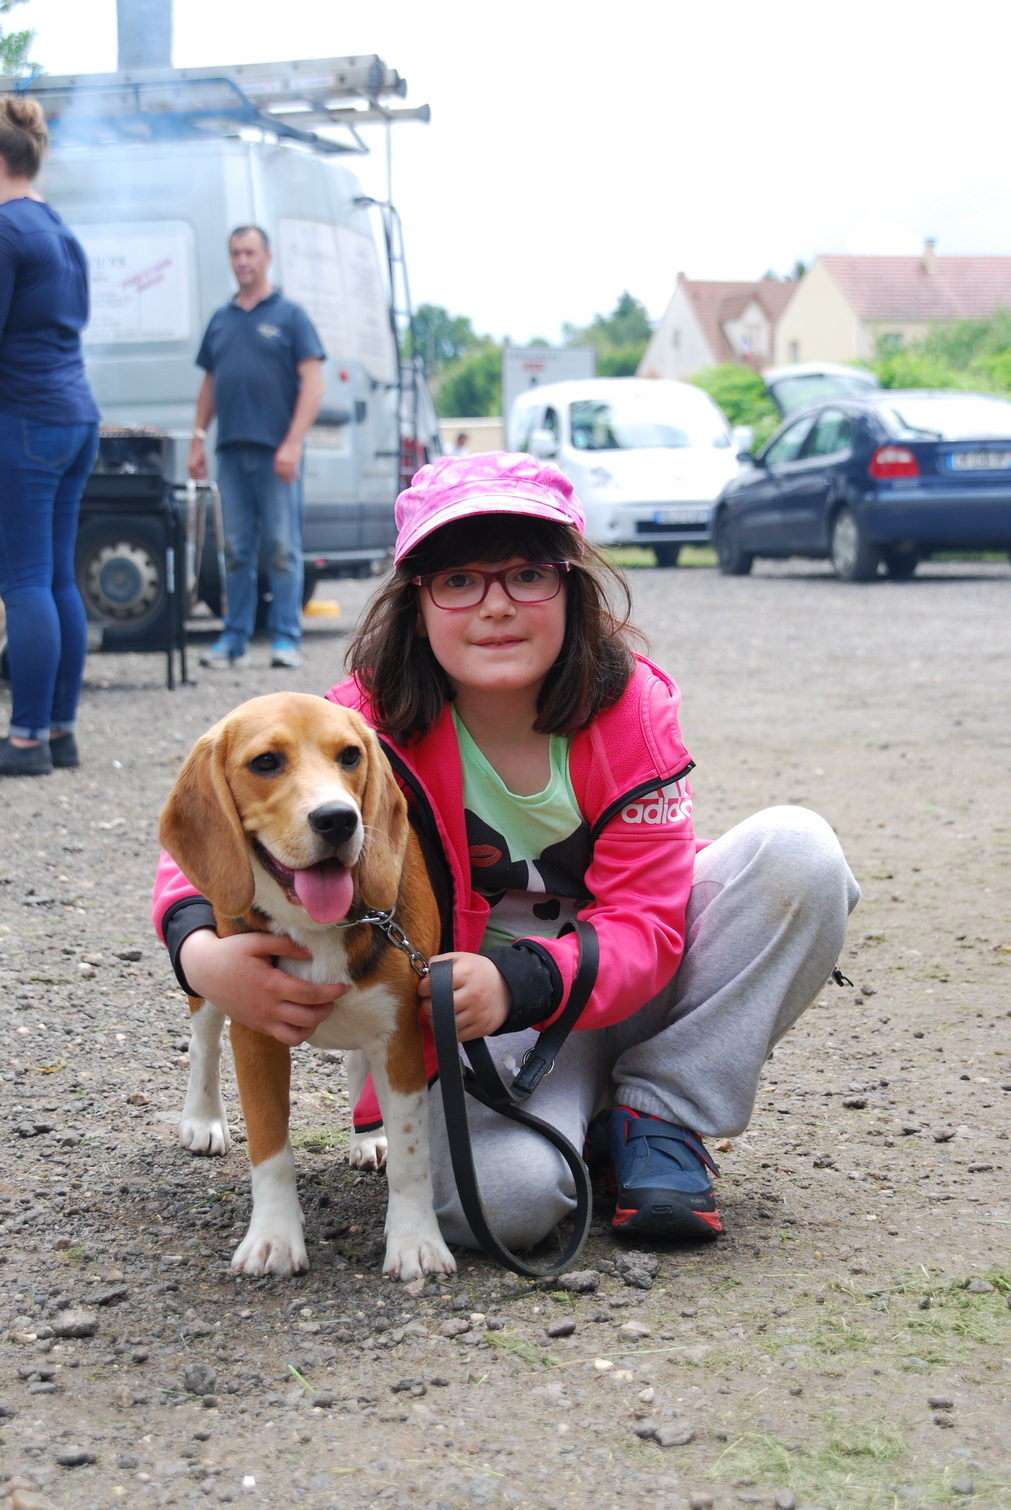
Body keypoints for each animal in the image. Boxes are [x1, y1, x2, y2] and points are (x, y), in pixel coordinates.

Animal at [158, 691, 456, 1283]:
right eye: (266, 762)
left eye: (349, 756)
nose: (339, 819)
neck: (319, 927)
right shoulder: (257, 1036)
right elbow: (270, 1149)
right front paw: (273, 1239)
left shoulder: (400, 1038)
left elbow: (412, 1156)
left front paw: (414, 1241)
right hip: (213, 976)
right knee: (204, 1041)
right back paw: (202, 1119)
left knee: (358, 1069)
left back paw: (369, 1135)